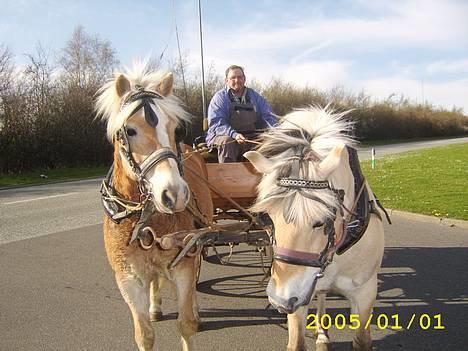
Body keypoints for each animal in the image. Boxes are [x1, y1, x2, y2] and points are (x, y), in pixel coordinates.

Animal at [95, 64, 212, 351]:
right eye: (130, 130)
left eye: (177, 129)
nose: (175, 194)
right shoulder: (127, 277)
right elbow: (144, 334)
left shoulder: (183, 267)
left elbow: (185, 324)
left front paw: (191, 317)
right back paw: (155, 306)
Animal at [245, 108, 384, 351]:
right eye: (266, 217)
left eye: (322, 221)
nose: (279, 300)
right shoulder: (298, 296)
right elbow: (297, 343)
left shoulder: (365, 292)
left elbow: (361, 341)